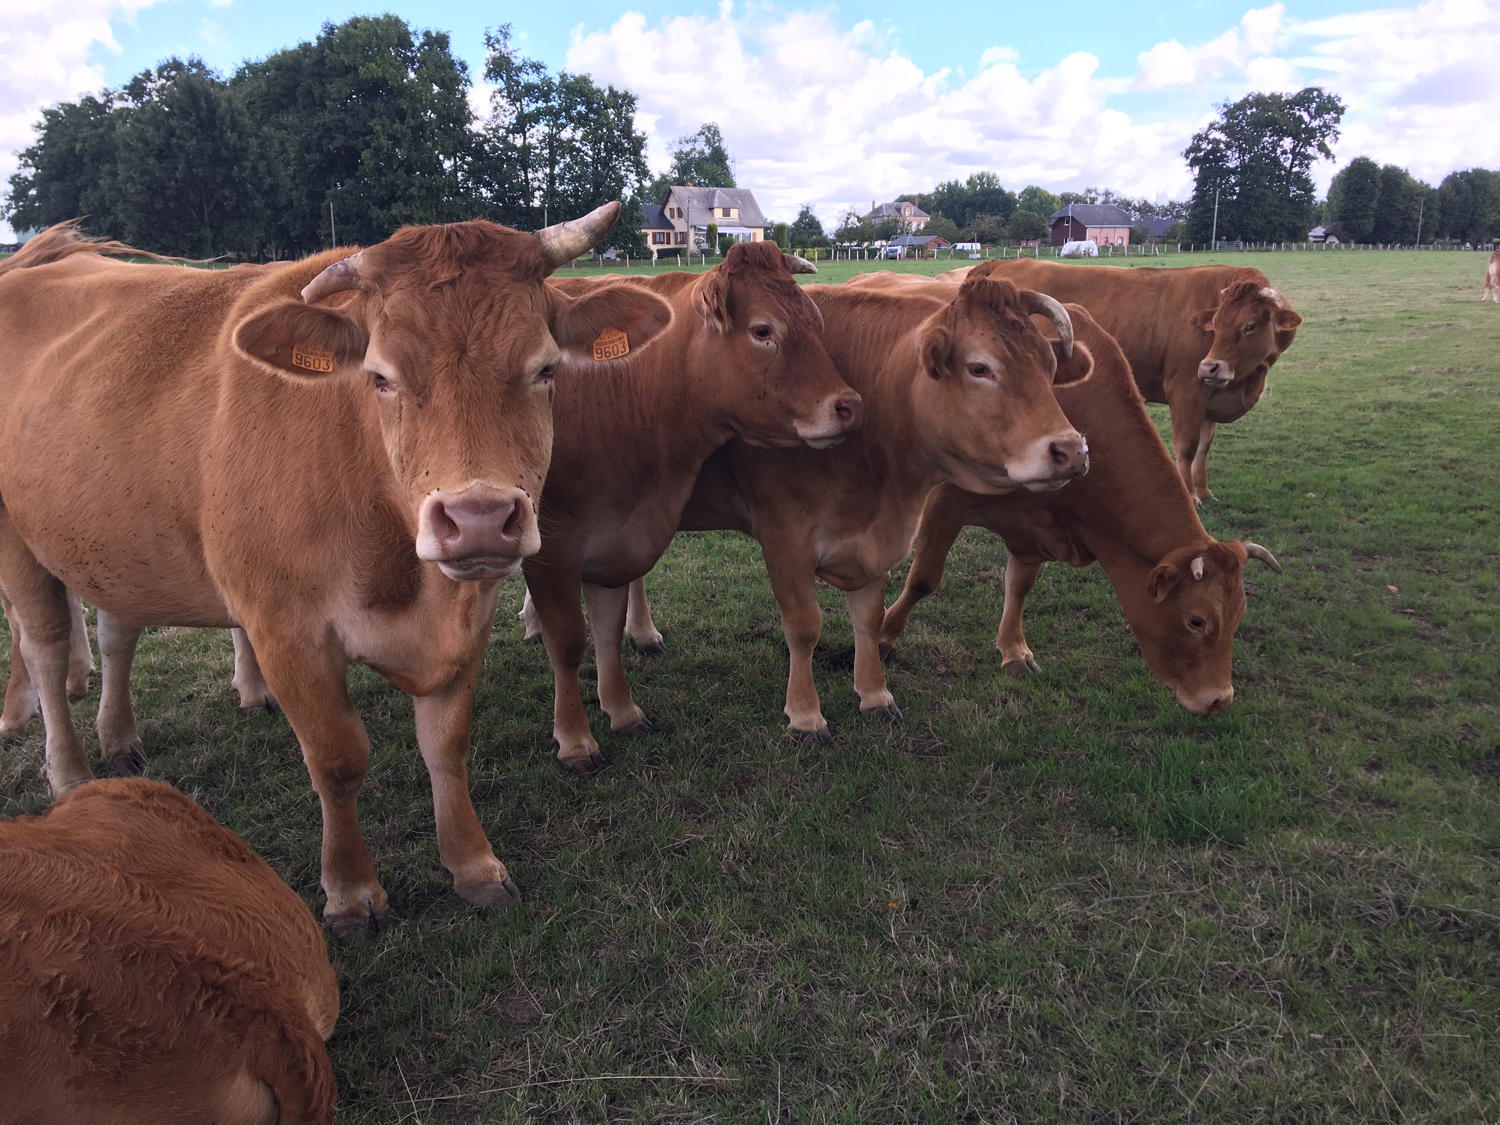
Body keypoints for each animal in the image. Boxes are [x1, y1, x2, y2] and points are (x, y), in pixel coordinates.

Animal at [0, 209, 672, 939]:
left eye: (546, 368)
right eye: (380, 377)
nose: (479, 518)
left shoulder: (469, 618)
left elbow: (447, 745)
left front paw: (473, 864)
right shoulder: (286, 633)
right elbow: (338, 758)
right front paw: (351, 892)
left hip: (114, 537)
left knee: (117, 629)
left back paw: (120, 738)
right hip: (19, 541)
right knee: (43, 646)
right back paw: (68, 773)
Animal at [522, 242, 863, 772]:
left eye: (816, 321)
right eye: (763, 330)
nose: (849, 406)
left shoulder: (619, 534)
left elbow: (607, 629)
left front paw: (622, 709)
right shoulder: (552, 543)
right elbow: (569, 640)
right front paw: (576, 740)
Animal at [626, 278, 1091, 737]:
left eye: (1048, 366)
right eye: (980, 368)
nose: (1071, 450)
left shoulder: (875, 541)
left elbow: (868, 619)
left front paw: (874, 695)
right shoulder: (785, 540)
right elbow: (804, 627)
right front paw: (806, 715)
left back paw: (643, 633)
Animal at [877, 304, 1282, 715]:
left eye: (1239, 616)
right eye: (1196, 621)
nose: (1219, 699)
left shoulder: (1036, 527)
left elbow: (1019, 586)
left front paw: (1014, 651)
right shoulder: (946, 500)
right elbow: (924, 579)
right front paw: (883, 637)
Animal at [932, 259, 1302, 503]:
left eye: (1250, 326)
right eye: (1217, 324)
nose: (1211, 367)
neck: (1245, 380)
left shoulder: (1212, 395)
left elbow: (1205, 446)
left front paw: (1203, 489)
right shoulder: (1187, 389)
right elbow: (1186, 446)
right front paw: (1191, 495)